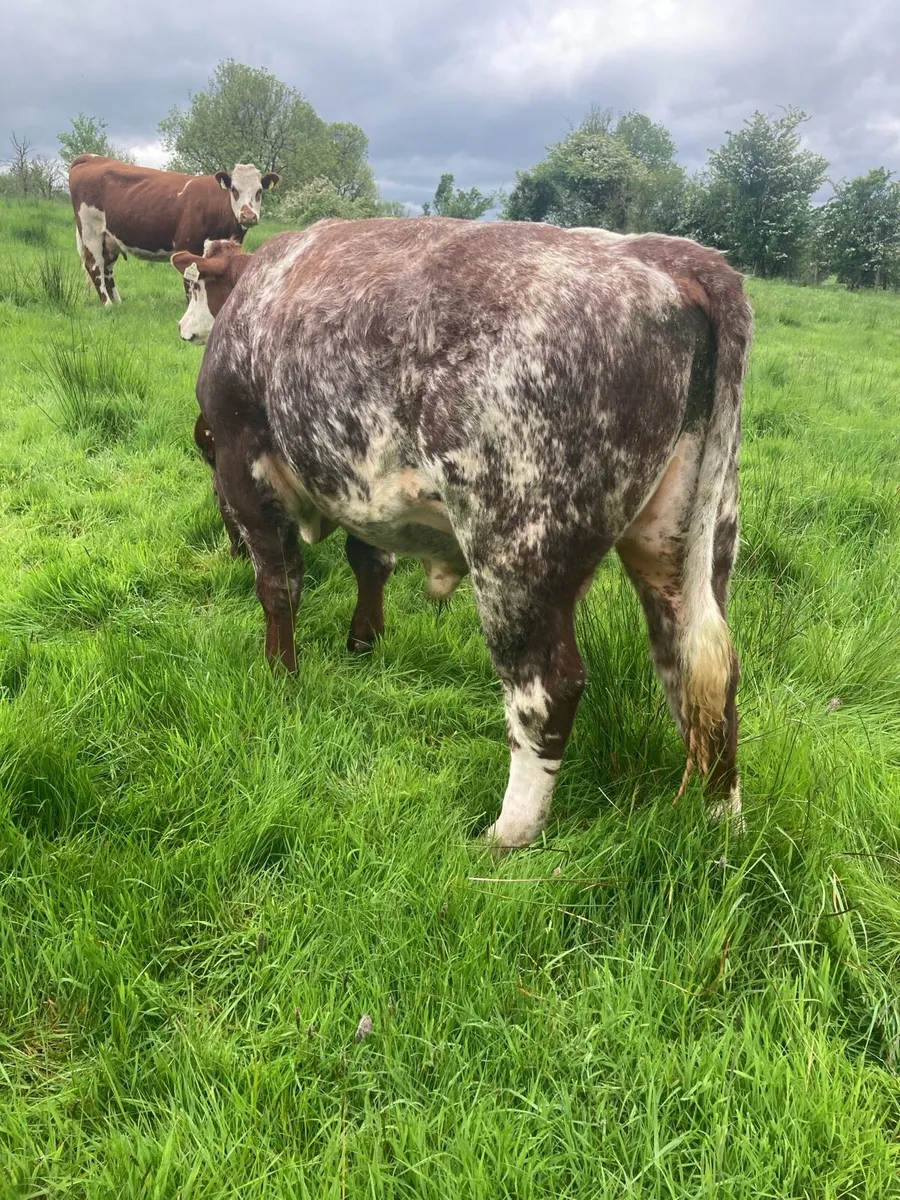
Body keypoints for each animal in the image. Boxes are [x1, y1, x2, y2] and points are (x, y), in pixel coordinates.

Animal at [68, 156, 278, 305]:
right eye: (234, 189)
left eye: (259, 191)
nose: (248, 216)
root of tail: (93, 158)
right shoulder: (187, 245)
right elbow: (190, 282)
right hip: (91, 233)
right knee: (94, 266)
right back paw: (108, 304)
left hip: (110, 240)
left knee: (107, 269)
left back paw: (119, 303)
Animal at [183, 217, 753, 849]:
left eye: (191, 286)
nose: (185, 328)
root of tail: (669, 255)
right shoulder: (363, 489)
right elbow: (369, 559)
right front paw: (363, 642)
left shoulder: (244, 463)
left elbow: (279, 586)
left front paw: (281, 676)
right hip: (688, 536)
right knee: (703, 664)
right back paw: (717, 820)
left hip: (515, 546)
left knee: (548, 686)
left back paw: (508, 833)